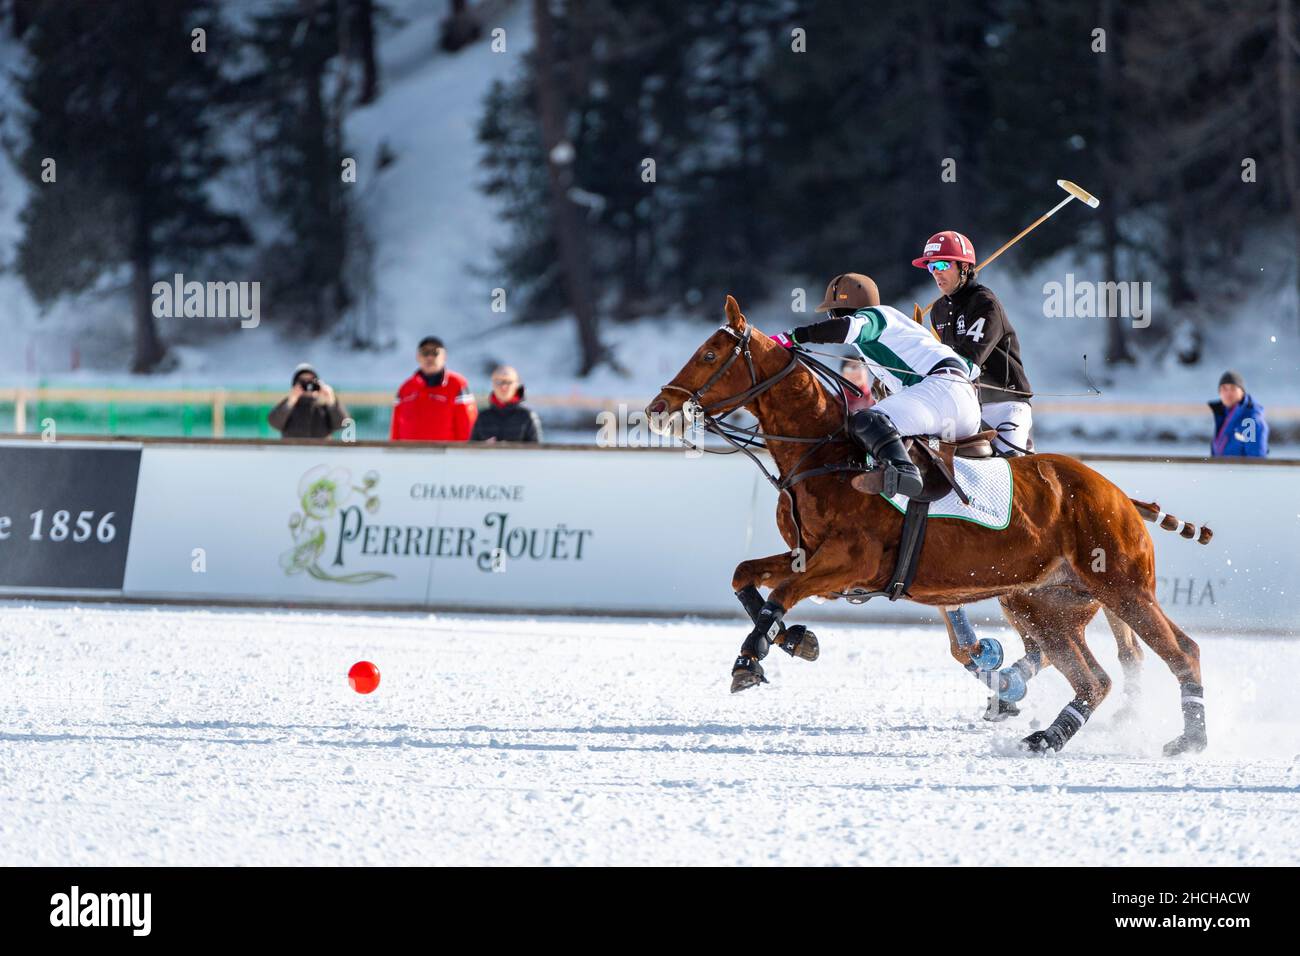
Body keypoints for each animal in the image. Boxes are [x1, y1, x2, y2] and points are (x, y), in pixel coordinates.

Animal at [650, 295, 1206, 759]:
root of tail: (1118, 494)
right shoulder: (811, 557)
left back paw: (1191, 738)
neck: (825, 454)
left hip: (1123, 586)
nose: (658, 409)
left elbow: (782, 592)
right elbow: (746, 575)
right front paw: (795, 640)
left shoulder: (850, 562)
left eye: (709, 354)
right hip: (1045, 603)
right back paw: (1046, 735)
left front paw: (751, 657)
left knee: (1181, 651)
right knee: (1094, 679)